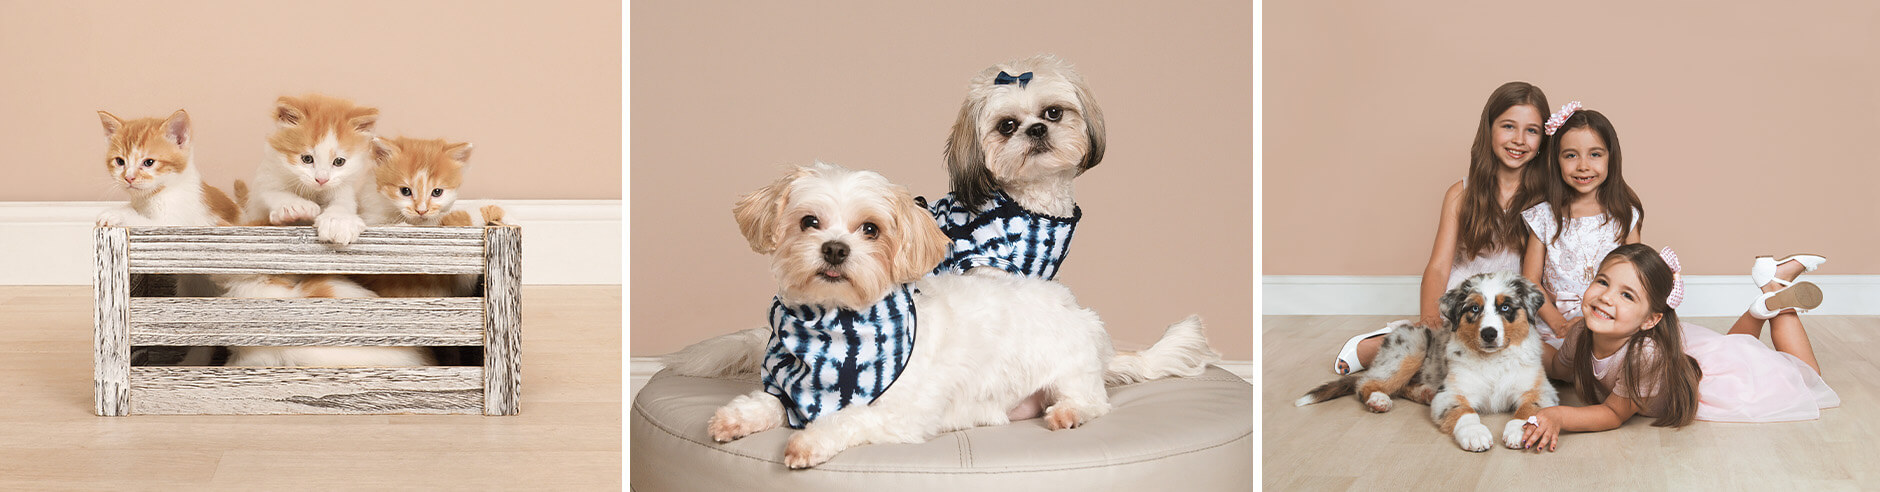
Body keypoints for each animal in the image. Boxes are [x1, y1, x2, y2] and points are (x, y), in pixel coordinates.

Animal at [248, 94, 383, 246]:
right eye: (307, 159)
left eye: (339, 161)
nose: (321, 179)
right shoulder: (264, 180)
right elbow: (269, 193)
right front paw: (295, 206)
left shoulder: (344, 187)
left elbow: (343, 203)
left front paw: (338, 220)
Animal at [665, 162, 1218, 469]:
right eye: (809, 222)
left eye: (871, 229)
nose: (835, 249)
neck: (832, 329)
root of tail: (1098, 337)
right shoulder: (791, 386)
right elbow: (769, 402)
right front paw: (737, 417)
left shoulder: (897, 413)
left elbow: (847, 418)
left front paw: (809, 442)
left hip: (1071, 372)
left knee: (1094, 403)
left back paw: (1068, 413)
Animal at [1293, 270, 1556, 452]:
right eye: (1474, 308)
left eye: (1506, 307)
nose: (1489, 334)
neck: (1493, 361)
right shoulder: (1452, 392)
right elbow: (1464, 411)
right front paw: (1476, 434)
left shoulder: (1540, 390)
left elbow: (1527, 410)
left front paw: (1519, 432)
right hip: (1412, 347)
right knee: (1365, 383)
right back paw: (1379, 399)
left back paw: (1424, 393)